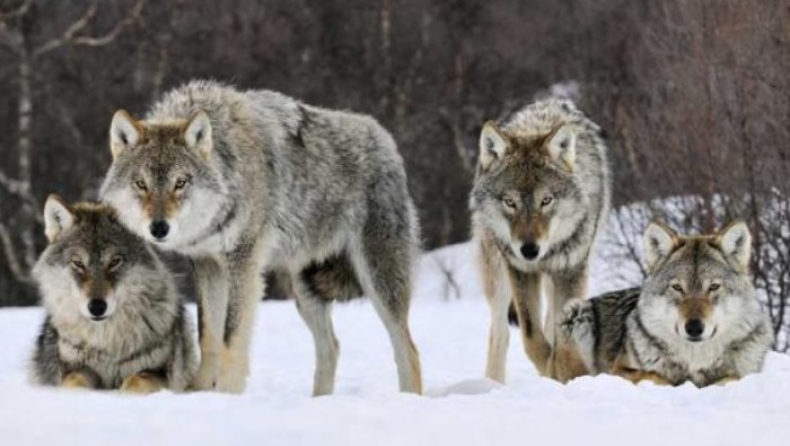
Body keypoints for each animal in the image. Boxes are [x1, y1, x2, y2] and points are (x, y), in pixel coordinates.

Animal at [31, 197, 198, 392]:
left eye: (115, 262)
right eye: (78, 263)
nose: (97, 307)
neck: (106, 343)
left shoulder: (158, 372)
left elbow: (136, 381)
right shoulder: (75, 369)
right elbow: (75, 382)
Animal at [101, 79, 424, 394]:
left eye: (180, 183)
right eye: (141, 184)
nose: (159, 228)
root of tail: (386, 140)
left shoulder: (243, 262)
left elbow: (231, 338)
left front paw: (227, 394)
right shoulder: (207, 264)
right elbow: (208, 336)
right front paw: (199, 391)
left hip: (377, 280)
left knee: (408, 350)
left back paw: (408, 398)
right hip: (305, 291)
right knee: (331, 347)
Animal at [470, 98, 612, 384]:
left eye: (546, 201)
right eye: (510, 202)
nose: (529, 249)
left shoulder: (571, 271)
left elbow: (559, 336)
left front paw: (561, 372)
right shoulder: (521, 271)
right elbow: (532, 336)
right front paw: (549, 368)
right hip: (497, 275)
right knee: (500, 333)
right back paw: (493, 384)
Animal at [564, 221, 772, 386]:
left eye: (713, 287)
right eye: (677, 287)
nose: (694, 327)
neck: (695, 360)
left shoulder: (745, 373)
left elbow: (732, 377)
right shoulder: (618, 370)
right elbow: (655, 375)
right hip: (577, 313)